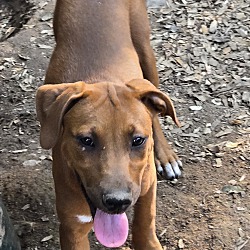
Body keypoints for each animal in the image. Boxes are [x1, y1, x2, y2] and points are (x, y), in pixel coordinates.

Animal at [35, 0, 182, 248]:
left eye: (138, 140)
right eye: (86, 140)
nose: (117, 201)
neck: (102, 79)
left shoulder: (147, 192)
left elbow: (145, 229)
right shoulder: (72, 228)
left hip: (144, 45)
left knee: (156, 109)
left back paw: (166, 156)